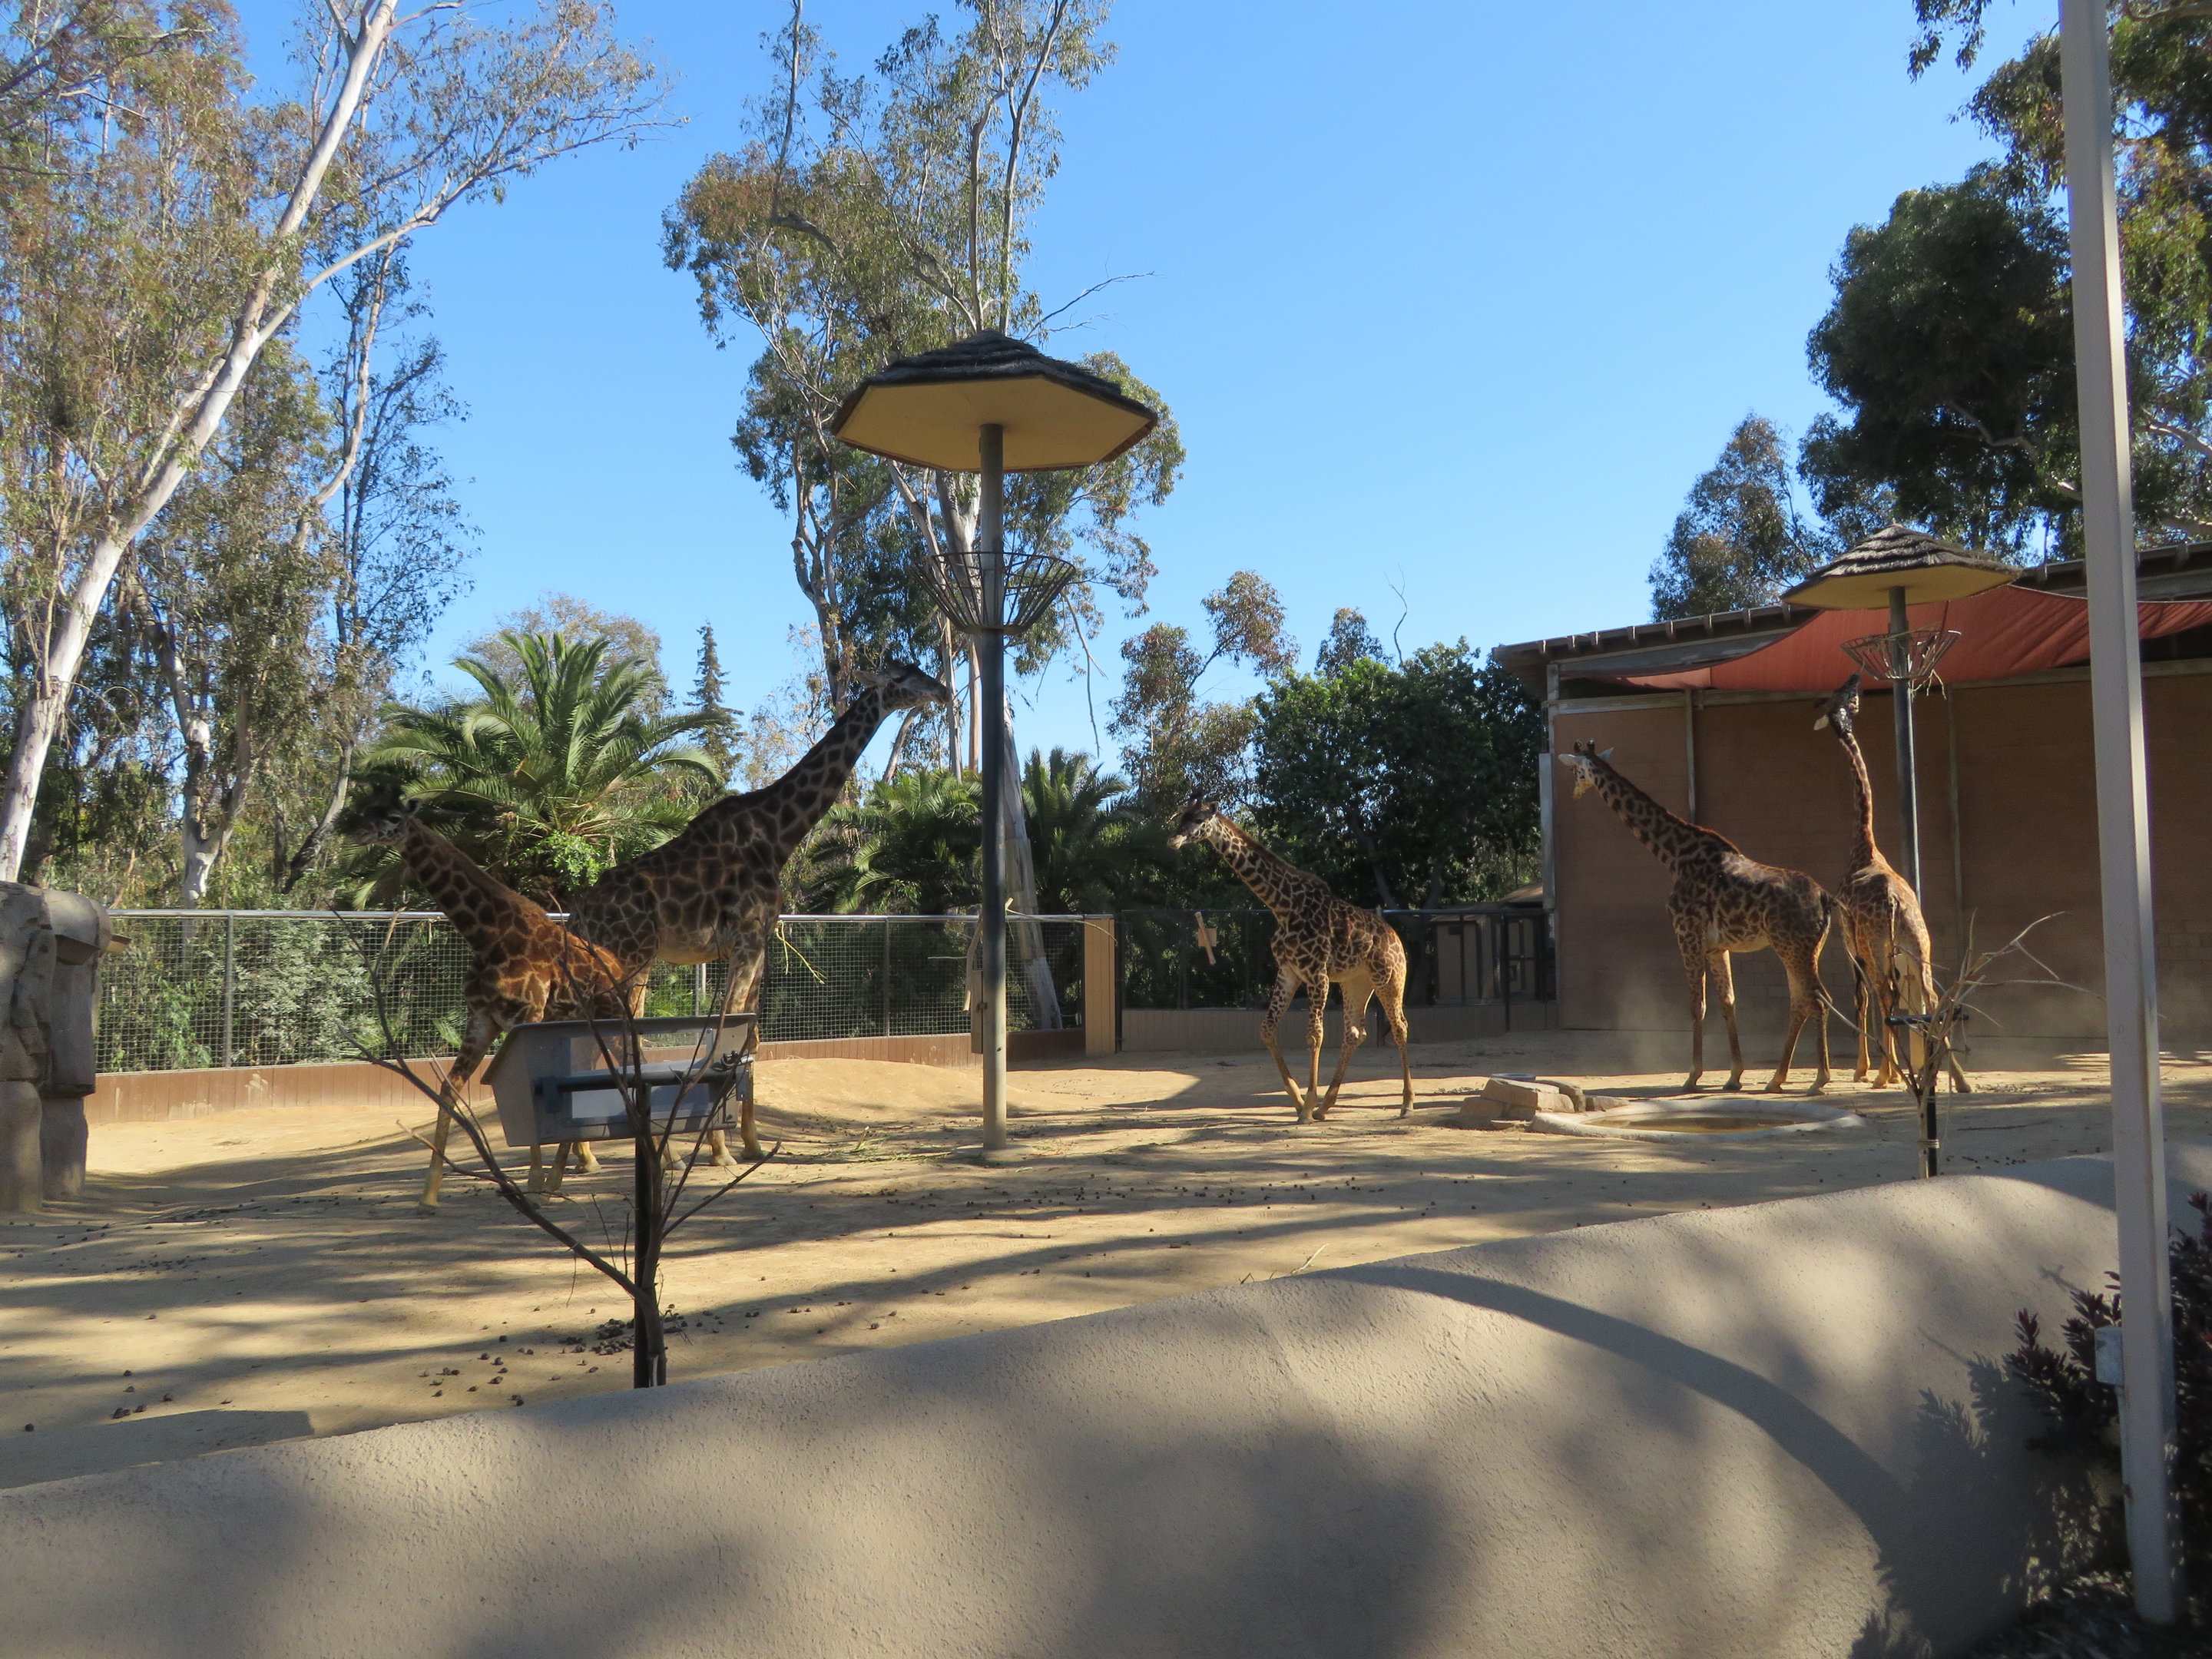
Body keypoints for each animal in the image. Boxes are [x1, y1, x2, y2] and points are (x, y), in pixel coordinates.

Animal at [341, 783, 642, 1208]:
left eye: (394, 817)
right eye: (368, 810)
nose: (359, 833)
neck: (486, 934)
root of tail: (619, 967)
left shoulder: (526, 1017)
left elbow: (527, 1089)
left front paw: (532, 1181)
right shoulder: (483, 1019)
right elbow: (449, 1088)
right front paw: (428, 1194)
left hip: (614, 1019)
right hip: (580, 1029)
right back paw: (565, 1174)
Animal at [567, 661, 952, 1162]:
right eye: (904, 677)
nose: (943, 691)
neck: (778, 834)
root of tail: (579, 914)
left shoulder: (758, 945)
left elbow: (750, 1039)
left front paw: (748, 1141)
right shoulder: (747, 941)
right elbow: (724, 1037)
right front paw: (720, 1148)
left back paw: (587, 1155)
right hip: (630, 959)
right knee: (613, 1042)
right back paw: (638, 1154)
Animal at [1166, 803, 1414, 1123]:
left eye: (1198, 819)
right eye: (1181, 816)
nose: (1173, 840)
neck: (1282, 906)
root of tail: (1396, 938)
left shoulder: (1317, 973)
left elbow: (1314, 1035)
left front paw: (1306, 1107)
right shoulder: (1289, 972)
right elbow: (1267, 1028)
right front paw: (1299, 1101)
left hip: (1389, 978)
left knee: (1399, 1027)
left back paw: (1406, 1103)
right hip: (1355, 982)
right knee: (1354, 1033)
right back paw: (1326, 1106)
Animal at [1556, 741, 1833, 1093]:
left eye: (1575, 771)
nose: (1574, 792)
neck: (1673, 856)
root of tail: (1824, 899)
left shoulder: (1686, 934)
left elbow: (1696, 1004)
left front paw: (1692, 1076)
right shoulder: (1717, 946)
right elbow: (1728, 1001)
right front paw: (1734, 1076)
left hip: (1793, 948)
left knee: (1818, 1001)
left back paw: (1819, 1079)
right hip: (1805, 949)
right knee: (1801, 1002)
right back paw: (1776, 1079)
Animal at [1813, 675, 1971, 1094]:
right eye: (1846, 695)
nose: (1855, 678)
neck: (1864, 844)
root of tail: (1895, 905)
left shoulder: (1850, 942)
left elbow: (1862, 1000)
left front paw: (1863, 1070)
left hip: (1879, 949)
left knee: (1884, 996)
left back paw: (1890, 1075)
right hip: (1918, 949)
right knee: (1934, 998)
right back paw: (1956, 1080)